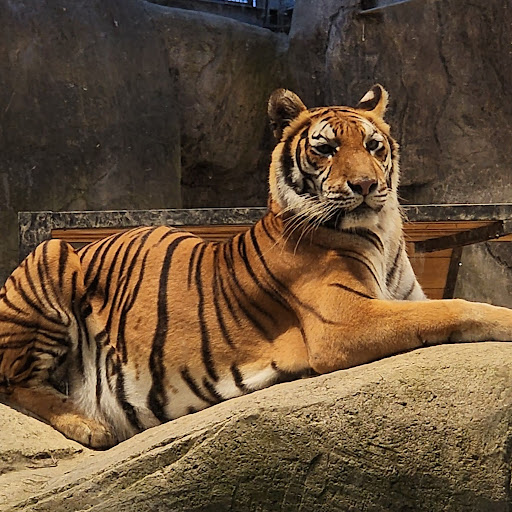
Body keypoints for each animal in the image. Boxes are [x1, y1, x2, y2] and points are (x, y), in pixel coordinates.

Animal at [1, 84, 512, 449]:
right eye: (326, 149)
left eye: (374, 146)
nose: (367, 186)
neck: (383, 235)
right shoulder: (344, 321)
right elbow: (456, 307)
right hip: (52, 255)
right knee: (13, 382)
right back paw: (89, 425)